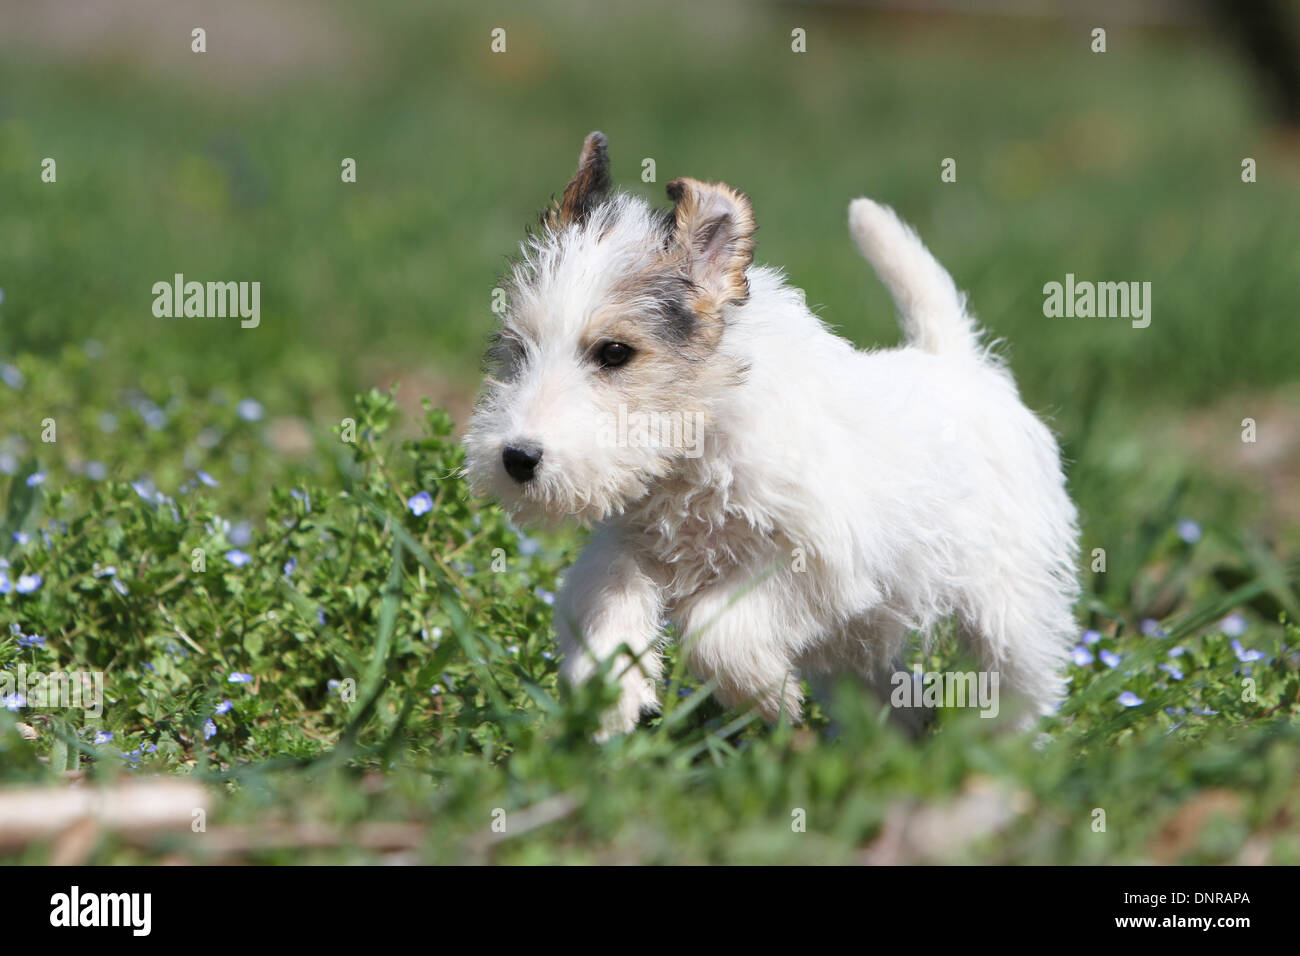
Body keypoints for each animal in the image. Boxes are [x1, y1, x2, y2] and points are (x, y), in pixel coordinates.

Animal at [462, 130, 1081, 738]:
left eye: (615, 352)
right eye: (518, 349)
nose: (517, 458)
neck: (701, 438)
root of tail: (955, 360)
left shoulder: (817, 560)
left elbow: (717, 628)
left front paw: (766, 694)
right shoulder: (628, 547)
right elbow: (603, 601)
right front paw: (610, 695)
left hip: (1007, 601)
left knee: (1021, 678)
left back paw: (996, 744)